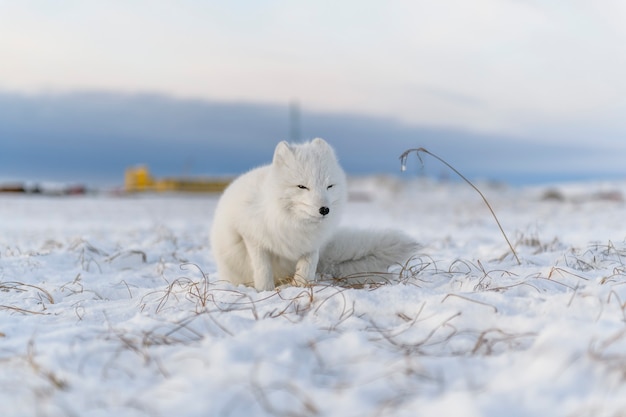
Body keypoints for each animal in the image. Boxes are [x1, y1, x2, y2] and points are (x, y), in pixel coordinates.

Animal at [207, 138, 416, 290]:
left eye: (329, 186)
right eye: (302, 186)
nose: (324, 210)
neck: (295, 224)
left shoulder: (312, 245)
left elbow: (308, 267)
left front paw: (302, 287)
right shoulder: (251, 237)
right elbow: (262, 268)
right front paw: (265, 291)